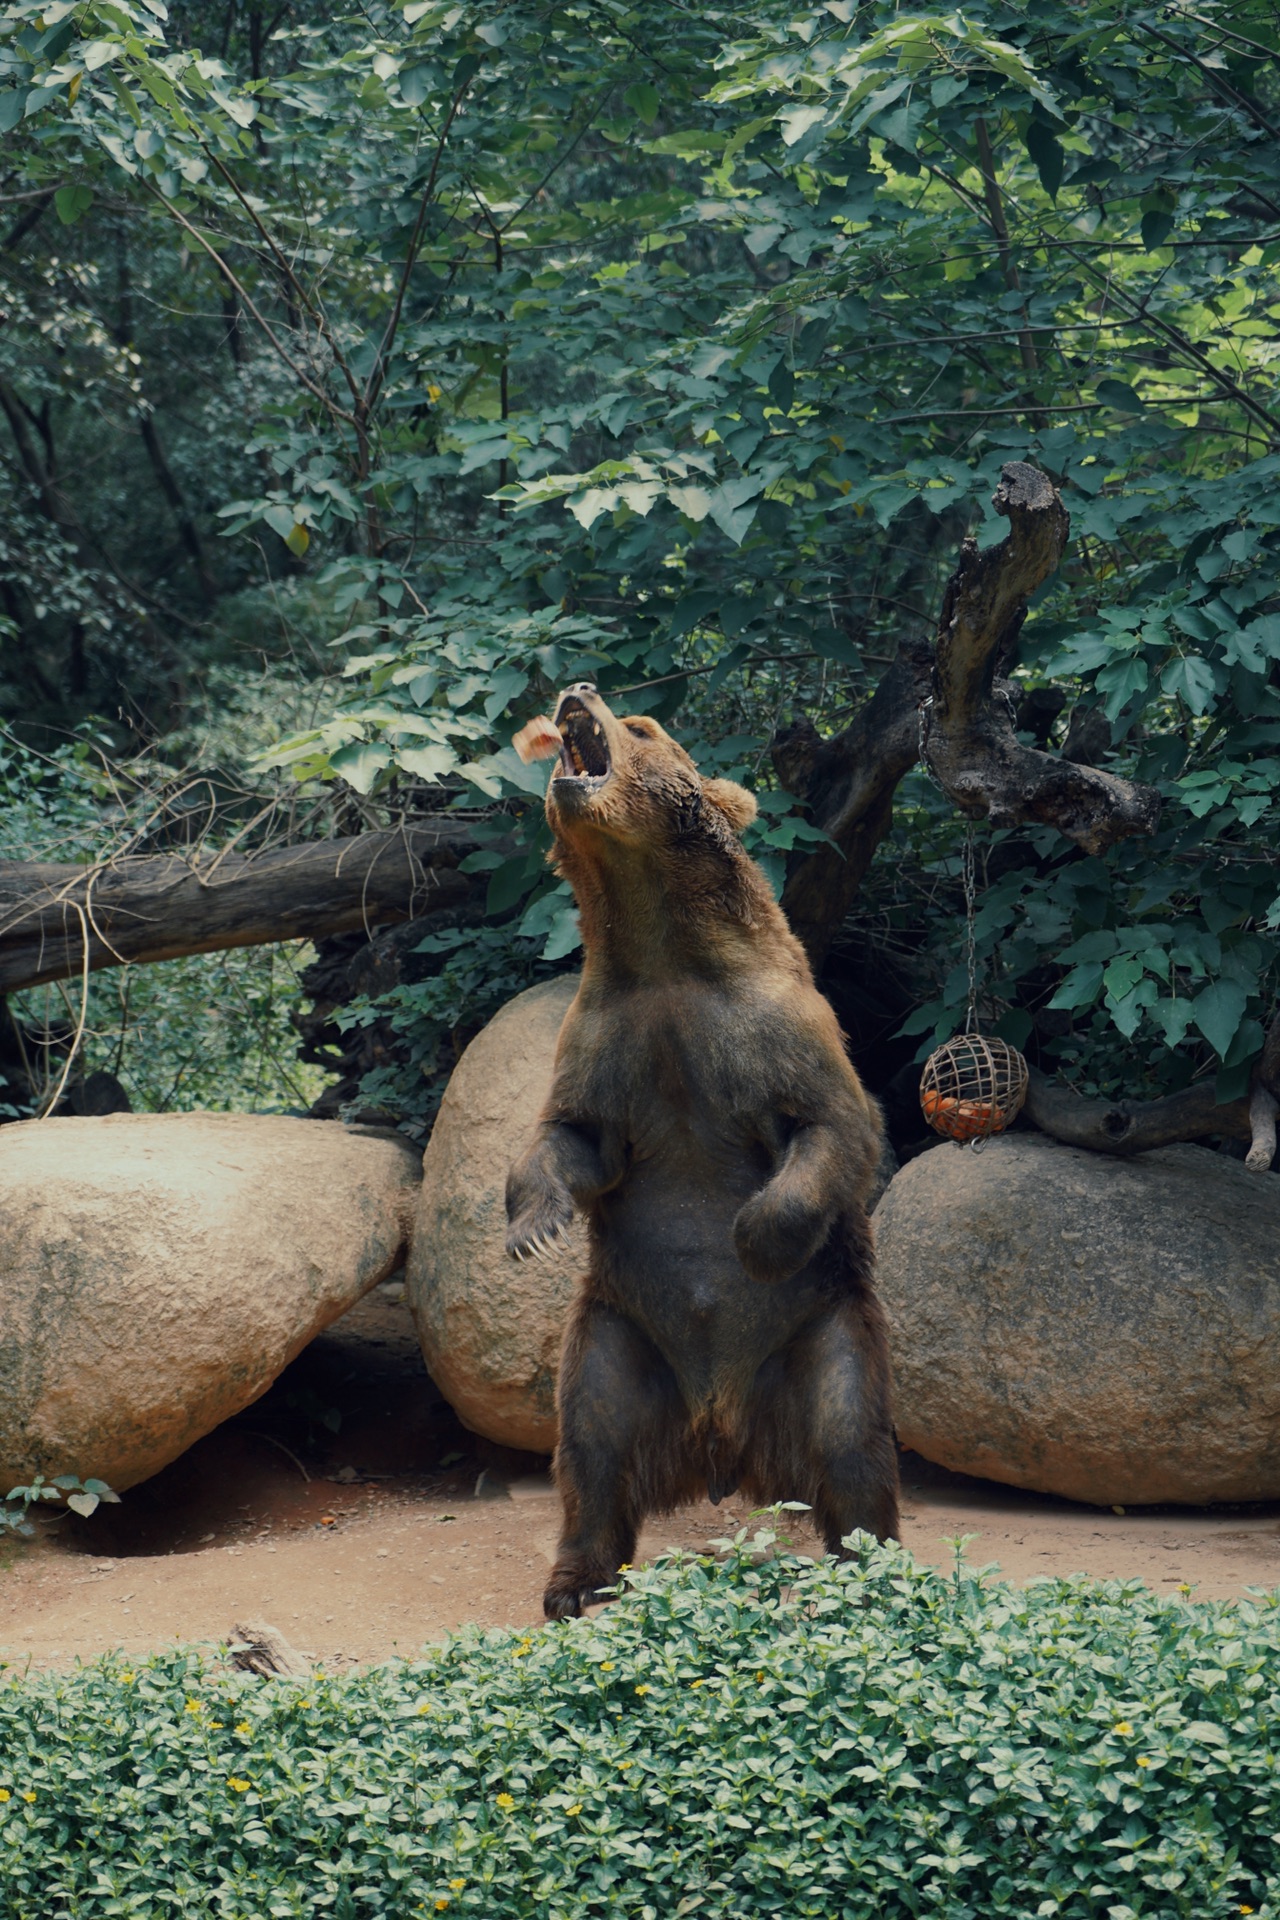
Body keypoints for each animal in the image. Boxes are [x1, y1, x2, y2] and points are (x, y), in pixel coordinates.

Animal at [502, 683, 901, 1612]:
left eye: (644, 727)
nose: (575, 690)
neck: (663, 950)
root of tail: (723, 1438)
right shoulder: (612, 1040)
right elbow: (568, 1136)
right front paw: (531, 1226)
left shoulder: (770, 1030)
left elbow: (836, 1127)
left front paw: (753, 1235)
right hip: (619, 1334)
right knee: (591, 1447)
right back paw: (575, 1581)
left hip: (819, 1329)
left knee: (852, 1441)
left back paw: (870, 1571)